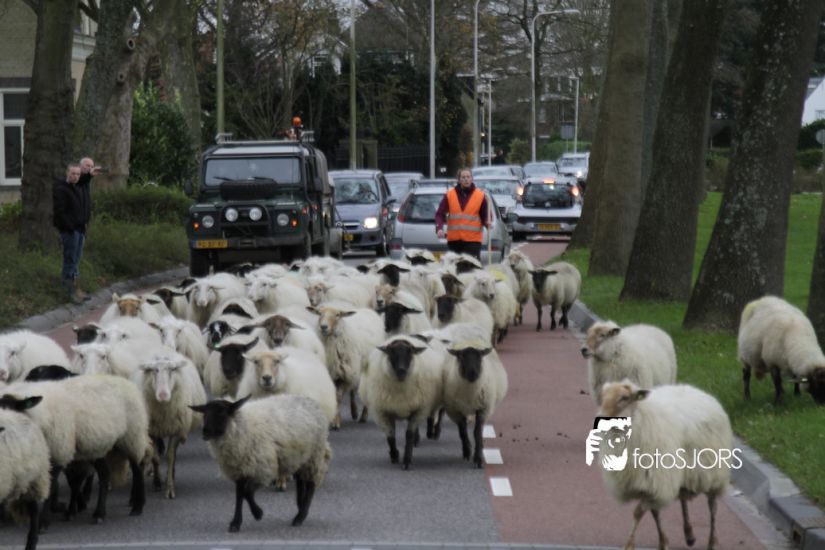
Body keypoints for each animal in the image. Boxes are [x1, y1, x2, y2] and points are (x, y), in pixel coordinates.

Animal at [138, 352, 206, 499]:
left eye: (172, 370)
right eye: (154, 371)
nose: (163, 395)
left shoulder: (177, 430)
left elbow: (170, 457)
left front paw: (169, 488)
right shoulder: (152, 431)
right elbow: (156, 458)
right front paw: (157, 482)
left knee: (173, 455)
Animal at [190, 394, 332, 530]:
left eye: (221, 413)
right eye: (204, 414)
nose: (204, 432)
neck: (239, 426)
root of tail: (311, 401)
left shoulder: (263, 468)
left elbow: (246, 492)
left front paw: (258, 513)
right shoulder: (239, 468)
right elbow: (240, 494)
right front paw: (236, 523)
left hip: (314, 455)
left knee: (311, 484)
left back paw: (300, 516)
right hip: (299, 456)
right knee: (300, 480)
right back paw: (300, 506)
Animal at [360, 335, 445, 469]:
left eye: (410, 352)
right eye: (391, 352)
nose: (401, 371)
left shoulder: (418, 410)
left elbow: (409, 434)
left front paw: (407, 460)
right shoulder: (383, 412)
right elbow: (390, 436)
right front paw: (395, 455)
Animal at [442, 340, 508, 468]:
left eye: (480, 357)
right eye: (461, 357)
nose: (473, 373)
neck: (470, 394)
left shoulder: (483, 409)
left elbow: (477, 432)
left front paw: (478, 458)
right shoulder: (456, 411)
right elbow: (463, 431)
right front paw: (467, 451)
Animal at [596, 381, 734, 550]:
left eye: (624, 398)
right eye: (603, 397)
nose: (600, 419)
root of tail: (697, 390)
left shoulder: (656, 481)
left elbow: (638, 513)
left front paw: (629, 544)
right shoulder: (651, 484)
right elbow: (655, 512)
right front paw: (663, 542)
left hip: (714, 472)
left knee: (712, 505)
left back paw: (712, 542)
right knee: (683, 498)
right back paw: (689, 534)